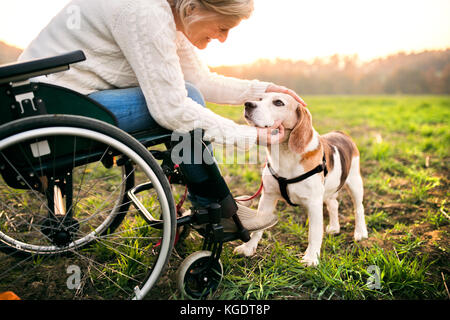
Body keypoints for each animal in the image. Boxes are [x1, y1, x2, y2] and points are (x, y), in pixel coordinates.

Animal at [234, 93, 368, 268]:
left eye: (278, 102)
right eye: (260, 99)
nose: (248, 104)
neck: (285, 154)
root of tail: (341, 133)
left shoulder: (314, 203)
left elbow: (314, 234)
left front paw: (311, 258)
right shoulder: (268, 196)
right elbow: (258, 226)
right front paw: (248, 248)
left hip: (354, 183)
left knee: (359, 208)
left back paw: (360, 232)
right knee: (333, 204)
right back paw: (334, 227)